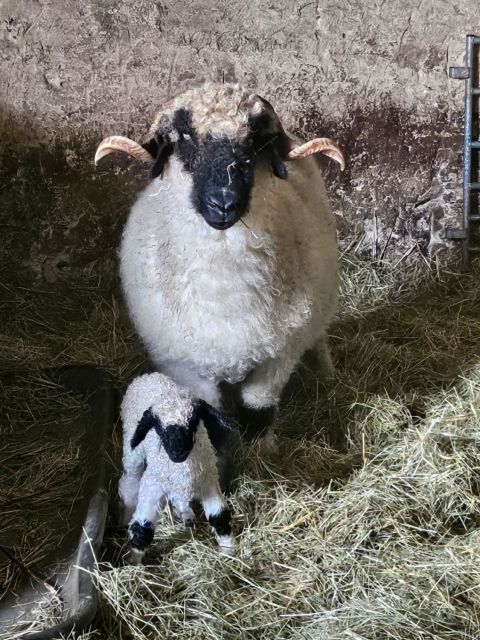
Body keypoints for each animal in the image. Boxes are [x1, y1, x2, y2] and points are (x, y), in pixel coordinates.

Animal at [94, 82, 344, 438]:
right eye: (183, 137)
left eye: (255, 141)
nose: (223, 203)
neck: (224, 290)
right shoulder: (183, 363)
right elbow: (209, 412)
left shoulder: (279, 355)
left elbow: (258, 410)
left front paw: (261, 449)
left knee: (319, 334)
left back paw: (326, 372)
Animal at [119, 370, 237, 560]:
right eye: (158, 427)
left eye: (193, 421)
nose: (177, 451)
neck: (182, 472)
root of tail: (146, 376)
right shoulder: (152, 484)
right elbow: (142, 530)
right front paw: (133, 562)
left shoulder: (208, 481)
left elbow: (219, 516)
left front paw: (229, 551)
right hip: (132, 448)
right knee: (130, 478)